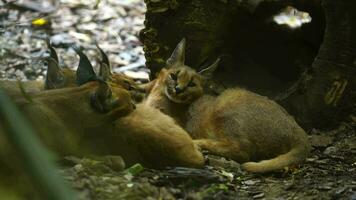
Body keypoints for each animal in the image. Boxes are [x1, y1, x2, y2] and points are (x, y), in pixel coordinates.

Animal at [143, 38, 310, 173]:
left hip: (226, 105)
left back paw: (199, 143)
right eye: (174, 76)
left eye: (191, 84)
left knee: (243, 152)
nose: (178, 89)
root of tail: (299, 131)